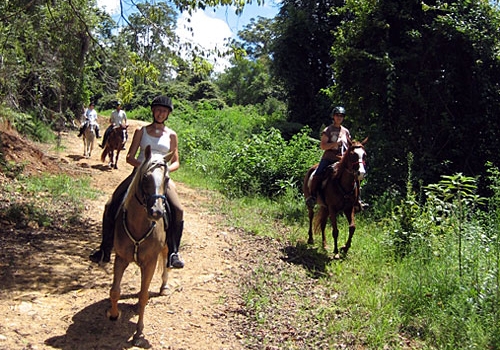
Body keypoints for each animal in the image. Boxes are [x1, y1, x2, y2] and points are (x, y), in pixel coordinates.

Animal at [106, 145, 173, 348]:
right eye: (145, 178)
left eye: (167, 179)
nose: (157, 212)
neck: (139, 224)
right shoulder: (121, 258)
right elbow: (115, 291)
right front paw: (114, 314)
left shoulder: (150, 263)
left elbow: (144, 296)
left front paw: (138, 333)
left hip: (167, 248)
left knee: (166, 263)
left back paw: (164, 287)